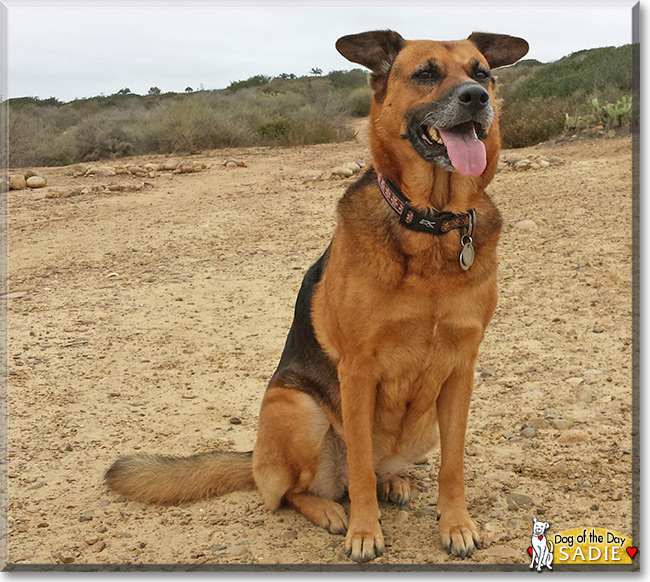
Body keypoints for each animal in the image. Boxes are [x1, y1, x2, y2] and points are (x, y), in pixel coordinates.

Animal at [105, 29, 528, 564]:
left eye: (482, 73)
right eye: (425, 74)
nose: (475, 99)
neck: (429, 226)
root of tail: (255, 459)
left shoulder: (460, 370)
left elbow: (453, 466)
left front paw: (456, 525)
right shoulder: (358, 370)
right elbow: (360, 470)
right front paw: (365, 532)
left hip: (423, 424)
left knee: (376, 469)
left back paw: (395, 482)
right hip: (296, 408)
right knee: (295, 491)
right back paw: (330, 509)